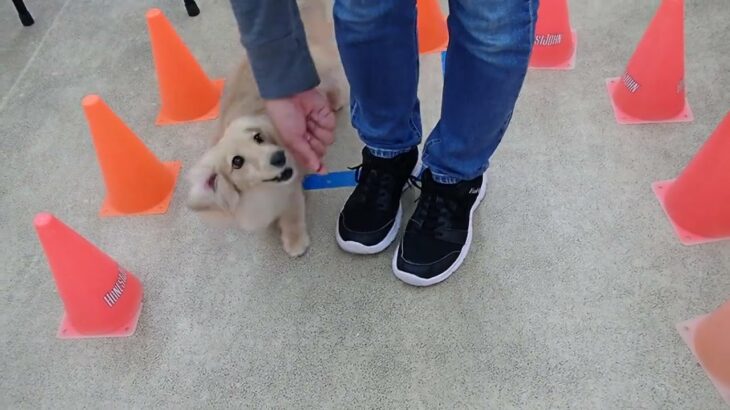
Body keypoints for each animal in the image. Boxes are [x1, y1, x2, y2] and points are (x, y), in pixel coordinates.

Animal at [188, 0, 346, 256]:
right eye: (237, 162)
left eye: (258, 138)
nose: (279, 157)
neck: (263, 192)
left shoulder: (290, 190)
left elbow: (292, 215)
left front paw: (295, 241)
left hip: (321, 71)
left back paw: (336, 101)